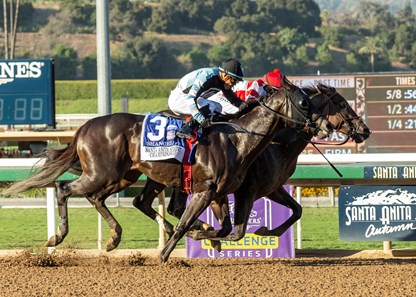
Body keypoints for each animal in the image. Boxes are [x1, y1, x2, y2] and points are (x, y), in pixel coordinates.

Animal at [0, 75, 332, 262]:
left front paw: (205, 234)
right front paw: (165, 253)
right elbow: (192, 224)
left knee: (105, 199)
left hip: (125, 176)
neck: (237, 138)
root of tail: (84, 127)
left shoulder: (220, 192)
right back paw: (58, 236)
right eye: (305, 102)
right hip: (102, 173)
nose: (326, 127)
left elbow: (227, 229)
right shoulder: (208, 190)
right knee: (64, 188)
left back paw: (114, 238)